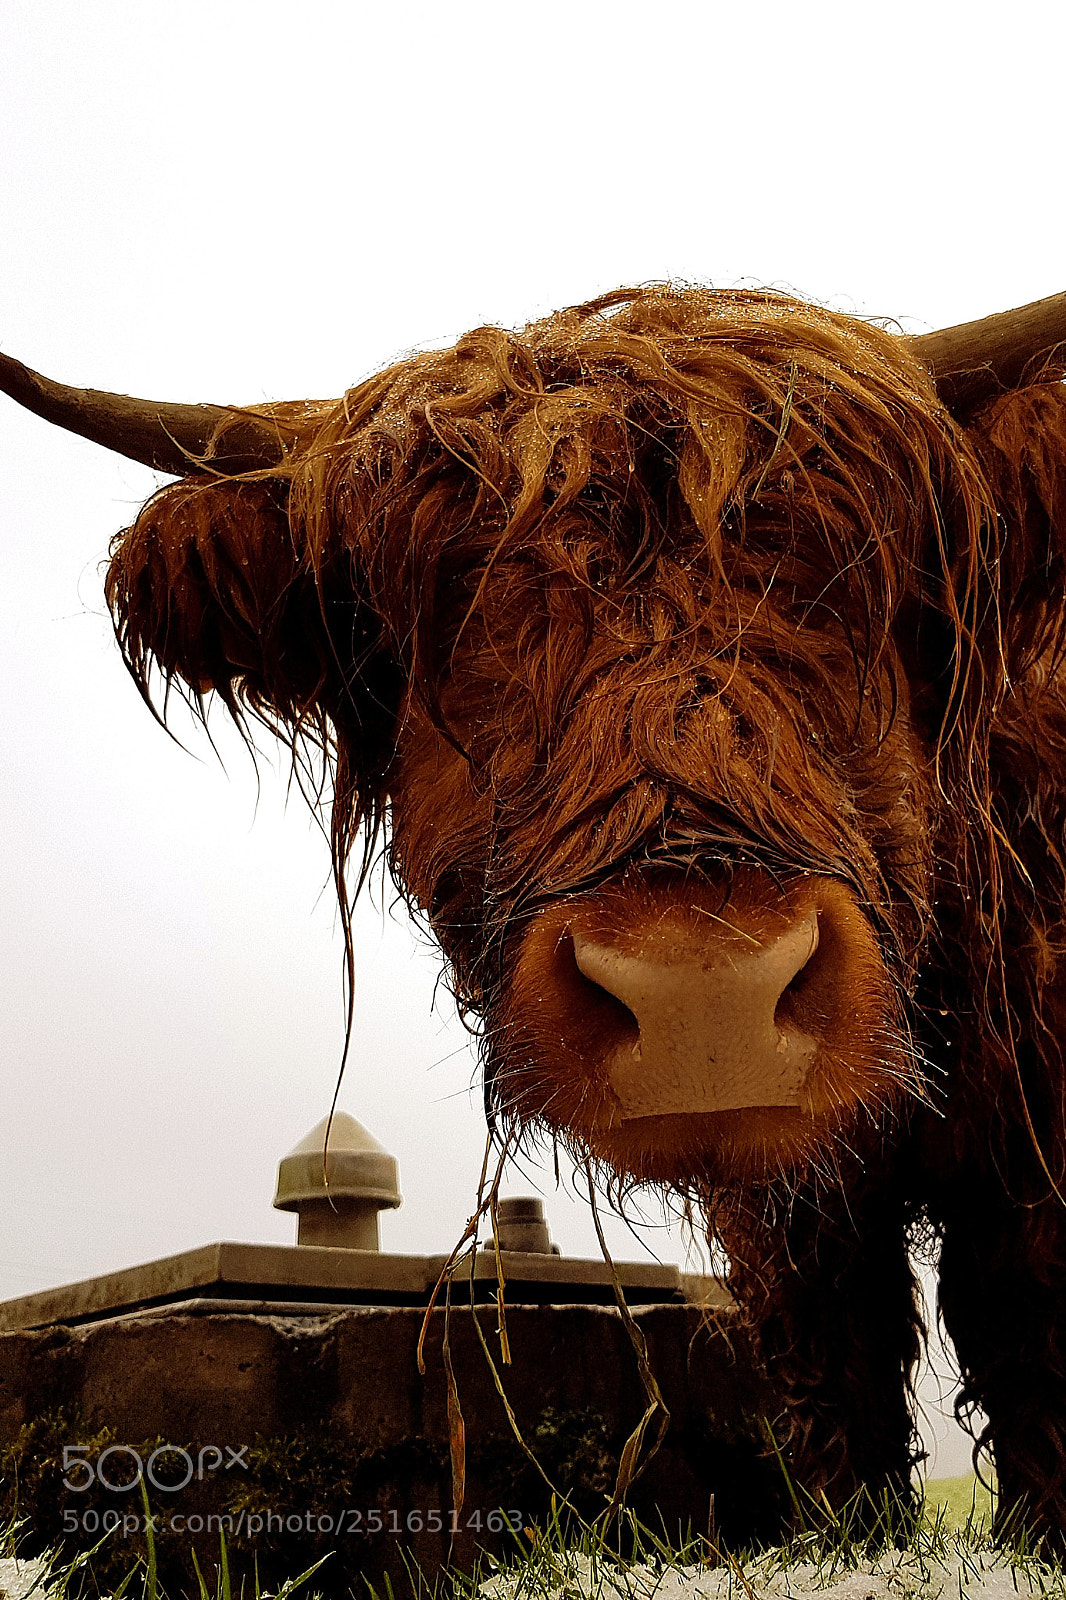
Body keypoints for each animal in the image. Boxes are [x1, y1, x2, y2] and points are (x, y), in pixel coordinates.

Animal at [4, 283, 1066, 1542]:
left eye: (861, 582)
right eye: (446, 608)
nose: (705, 988)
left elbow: (1030, 1338)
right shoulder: (795, 1211)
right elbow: (833, 1359)